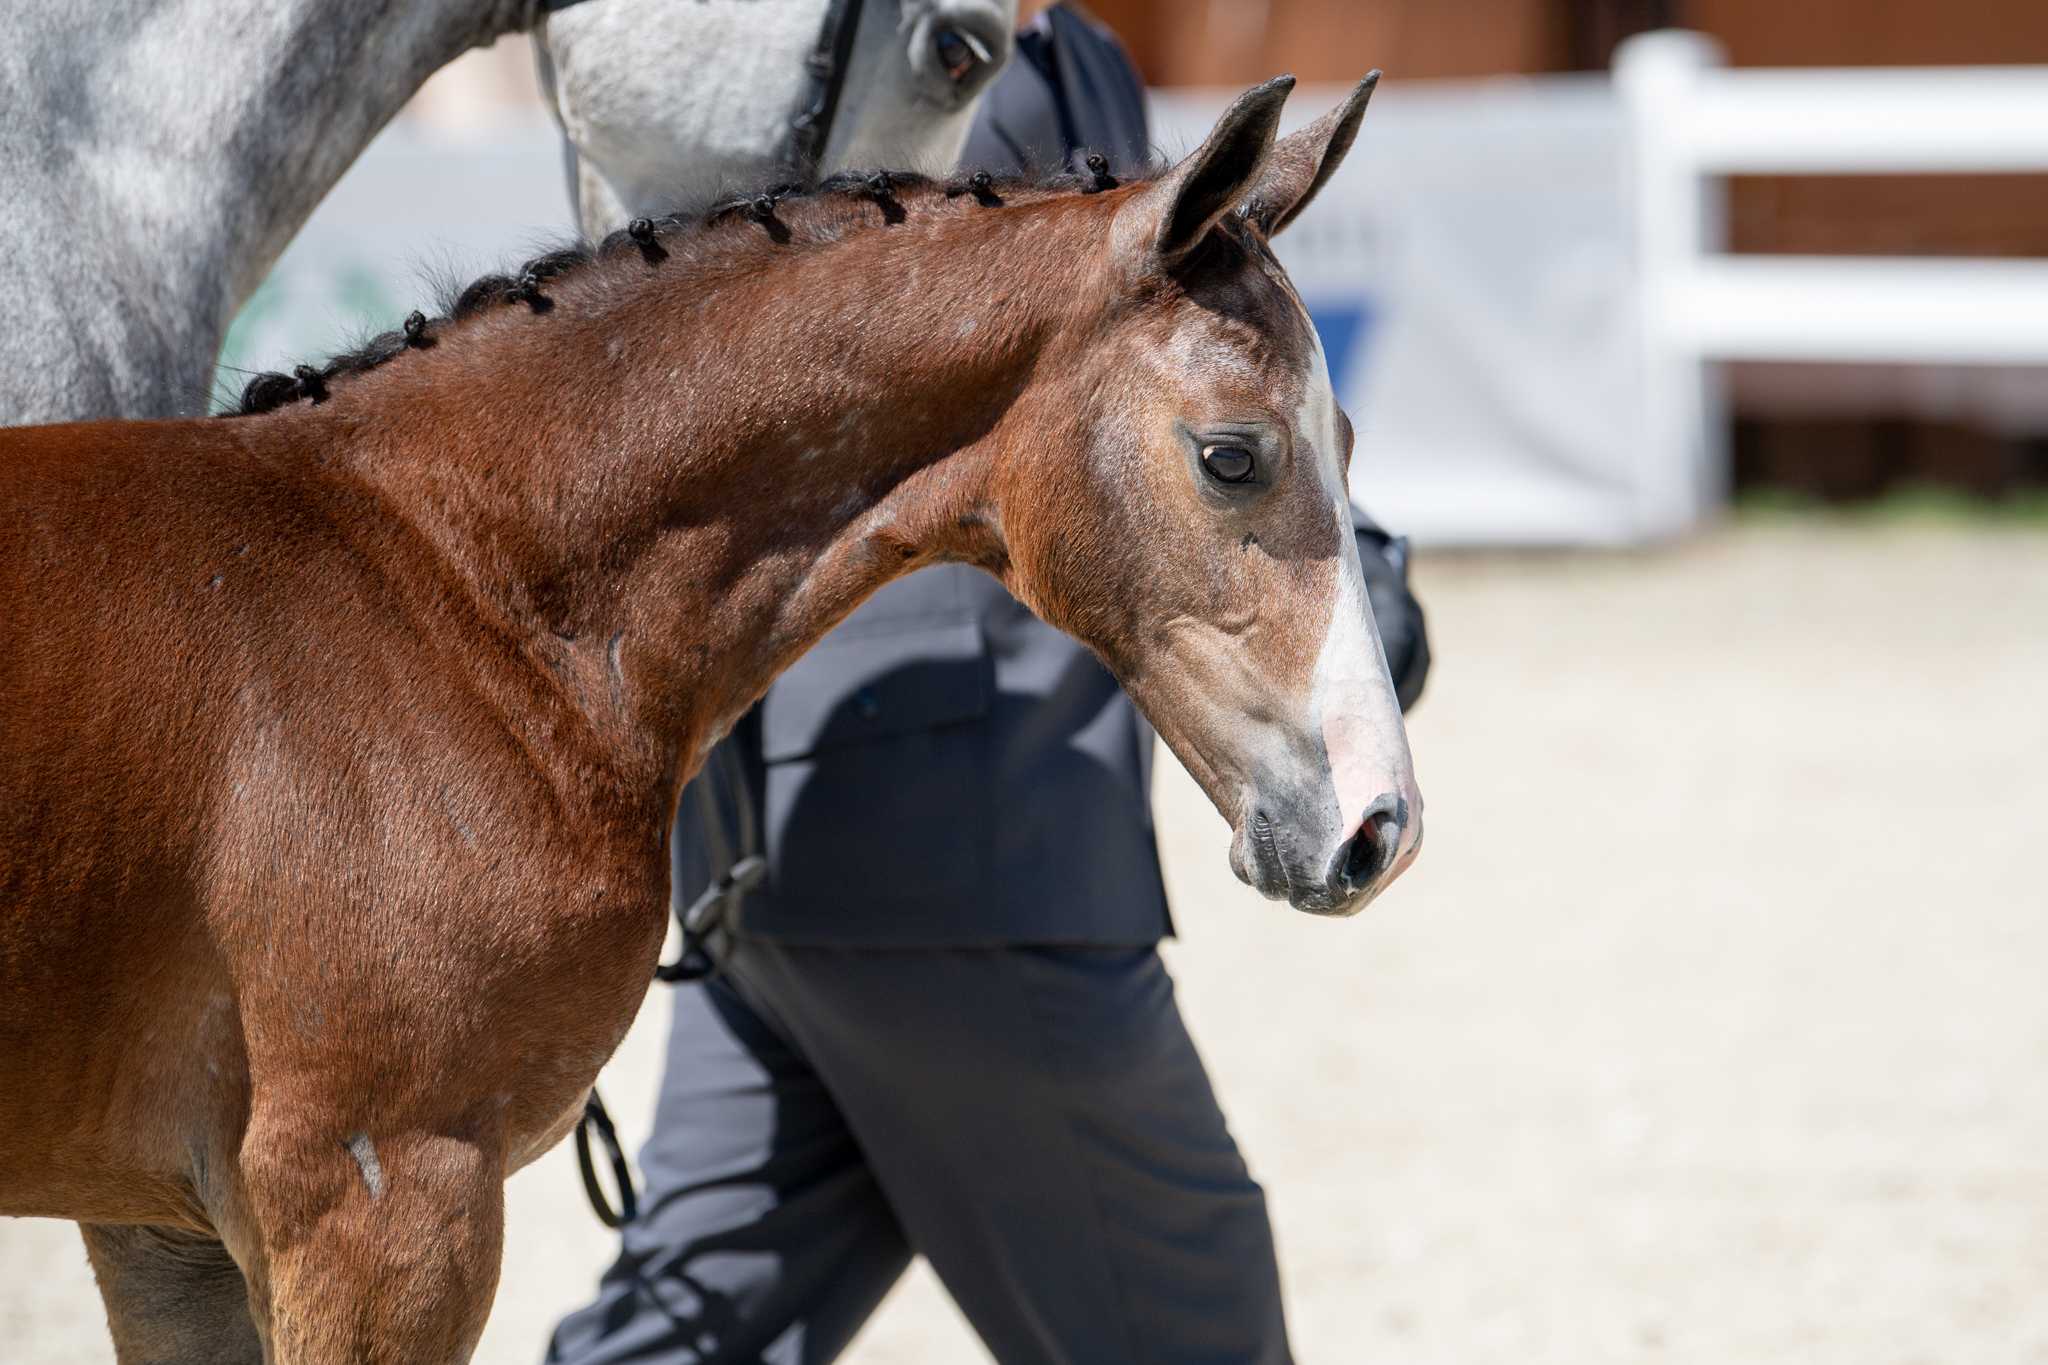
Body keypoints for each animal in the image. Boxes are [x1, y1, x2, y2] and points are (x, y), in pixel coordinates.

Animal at [0, 76, 1418, 1362]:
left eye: (1347, 440)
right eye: (1230, 454)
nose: (1378, 829)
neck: (445, 584)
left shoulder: (168, 1231)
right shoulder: (379, 1207)